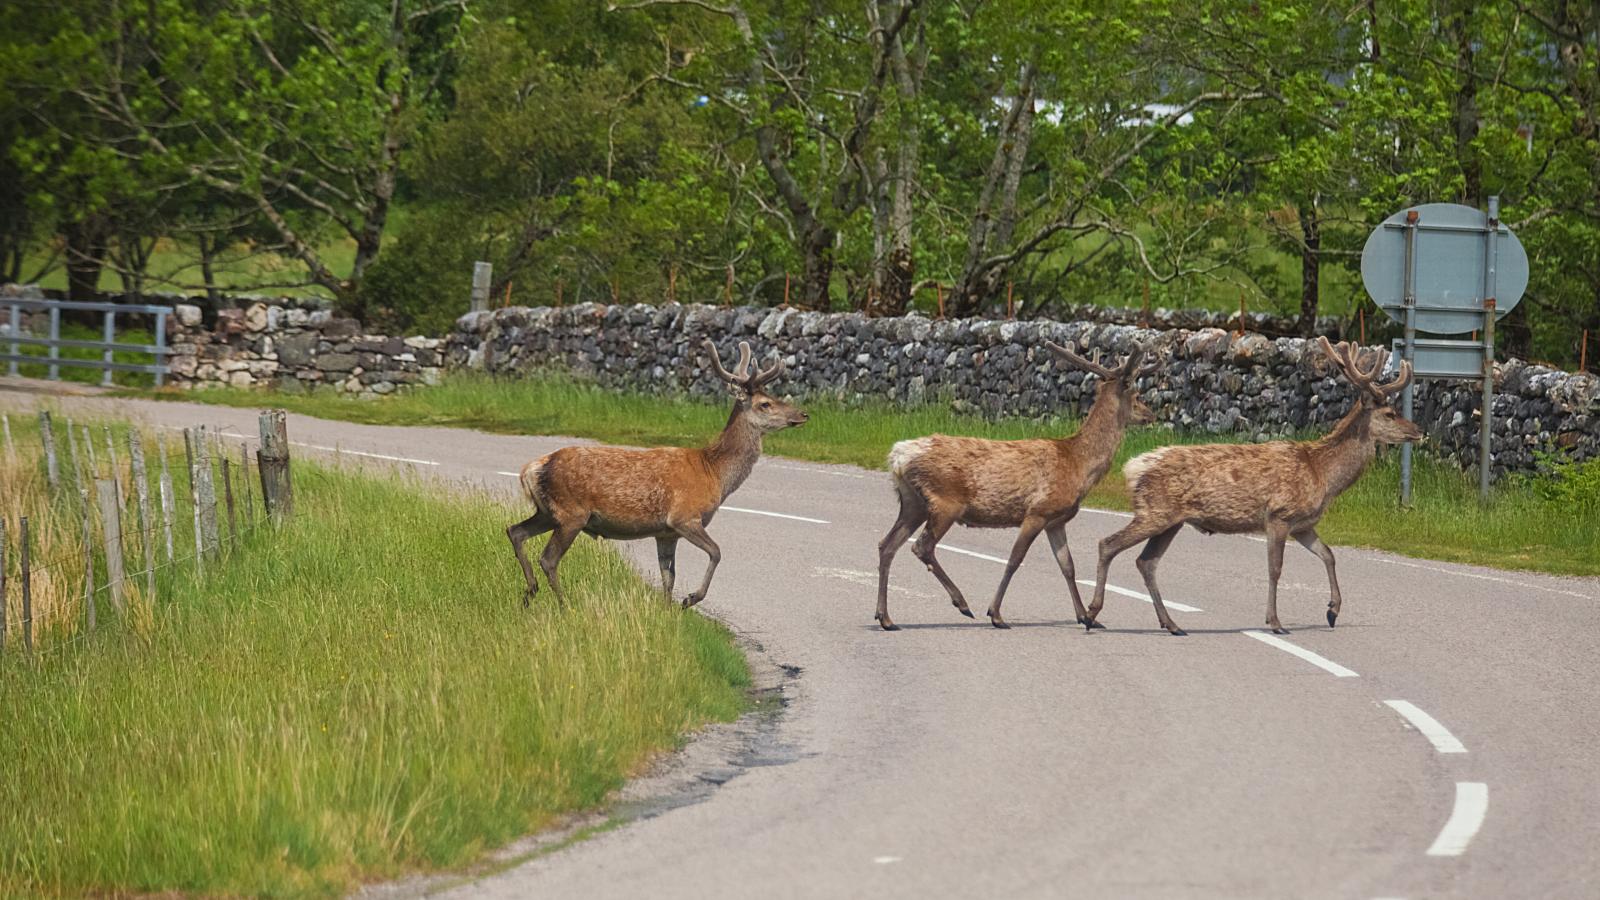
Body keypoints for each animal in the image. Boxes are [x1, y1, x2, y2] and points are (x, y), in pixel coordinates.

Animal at [512, 339, 806, 605]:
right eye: (765, 404)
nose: (803, 414)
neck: (714, 473)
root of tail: (530, 470)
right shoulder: (684, 517)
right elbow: (716, 552)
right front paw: (690, 599)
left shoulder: (665, 532)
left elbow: (669, 576)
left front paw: (666, 612)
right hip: (571, 513)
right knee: (548, 558)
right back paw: (564, 603)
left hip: (549, 513)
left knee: (515, 532)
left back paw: (529, 592)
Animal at [876, 339, 1152, 627]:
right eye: (1136, 394)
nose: (1151, 414)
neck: (1078, 464)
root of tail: (898, 457)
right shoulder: (1037, 511)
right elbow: (1014, 559)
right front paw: (996, 613)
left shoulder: (1056, 520)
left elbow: (1067, 566)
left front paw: (1086, 616)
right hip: (945, 501)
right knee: (921, 546)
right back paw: (962, 603)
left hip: (912, 503)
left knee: (887, 545)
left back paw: (885, 618)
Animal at [1081, 333, 1420, 634]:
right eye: (1389, 413)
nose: (1418, 431)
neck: (1322, 474)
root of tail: (1133, 468)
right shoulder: (1279, 515)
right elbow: (1275, 569)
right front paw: (1276, 622)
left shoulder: (1303, 524)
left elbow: (1328, 555)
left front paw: (1332, 611)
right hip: (1155, 512)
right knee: (1108, 544)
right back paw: (1091, 614)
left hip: (1170, 520)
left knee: (1146, 561)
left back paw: (1171, 624)